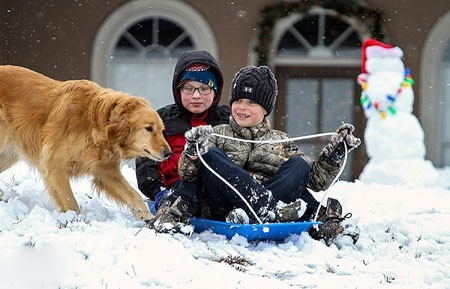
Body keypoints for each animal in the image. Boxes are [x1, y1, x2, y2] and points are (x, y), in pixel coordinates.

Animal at [0, 64, 171, 220]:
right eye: (149, 128)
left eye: (162, 130)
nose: (169, 153)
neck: (96, 121)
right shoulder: (53, 164)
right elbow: (70, 201)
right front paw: (74, 219)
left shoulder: (106, 171)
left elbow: (133, 194)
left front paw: (147, 216)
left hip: (9, 154)